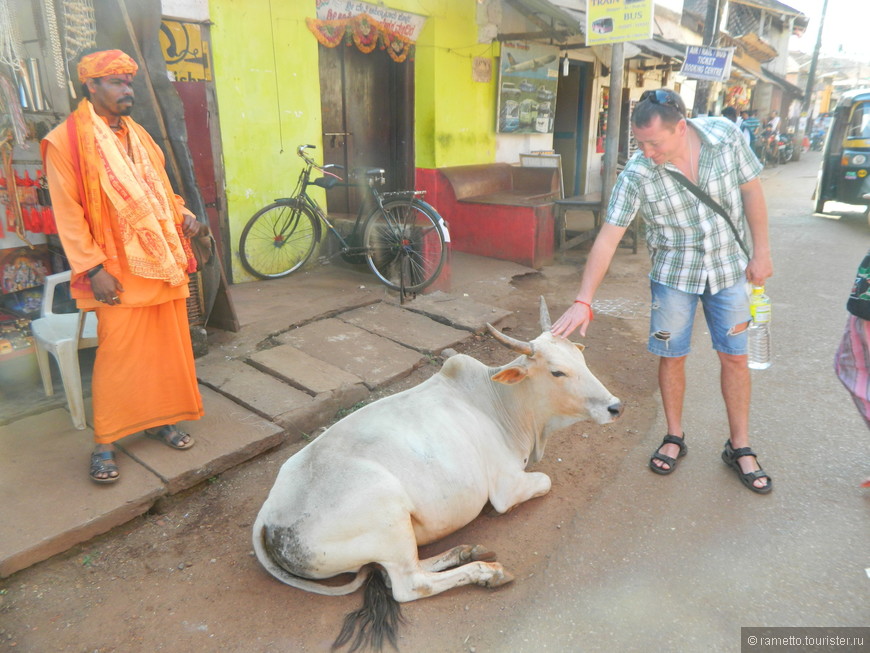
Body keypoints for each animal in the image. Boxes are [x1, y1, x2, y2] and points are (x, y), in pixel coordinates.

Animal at [250, 298, 620, 648]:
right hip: (389, 514)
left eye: (582, 360)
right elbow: (544, 481)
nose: (615, 406)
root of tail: (268, 514)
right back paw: (486, 572)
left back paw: (468, 552)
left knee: (398, 571)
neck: (503, 403)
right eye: (557, 372)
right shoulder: (506, 487)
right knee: (409, 584)